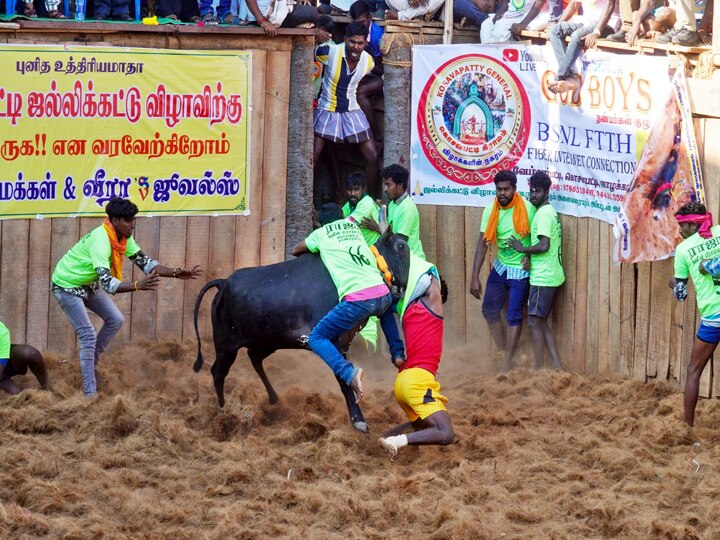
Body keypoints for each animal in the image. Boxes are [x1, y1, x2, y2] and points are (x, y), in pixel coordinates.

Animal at [193, 234, 410, 432]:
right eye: (401, 246)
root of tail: (224, 282)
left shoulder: (343, 342)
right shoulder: (331, 340)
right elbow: (343, 379)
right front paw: (358, 420)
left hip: (268, 340)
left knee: (254, 357)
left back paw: (274, 399)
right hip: (225, 345)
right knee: (218, 372)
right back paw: (223, 411)